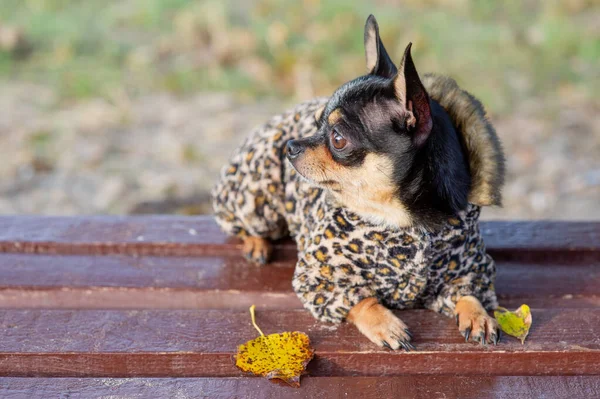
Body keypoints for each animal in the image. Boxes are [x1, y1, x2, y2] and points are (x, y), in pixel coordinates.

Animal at [213, 14, 504, 350]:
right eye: (316, 123)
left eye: (337, 138)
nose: (290, 146)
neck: (405, 221)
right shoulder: (320, 279)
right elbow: (361, 300)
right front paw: (386, 324)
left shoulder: (468, 268)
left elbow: (468, 291)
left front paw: (478, 314)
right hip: (260, 201)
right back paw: (255, 243)